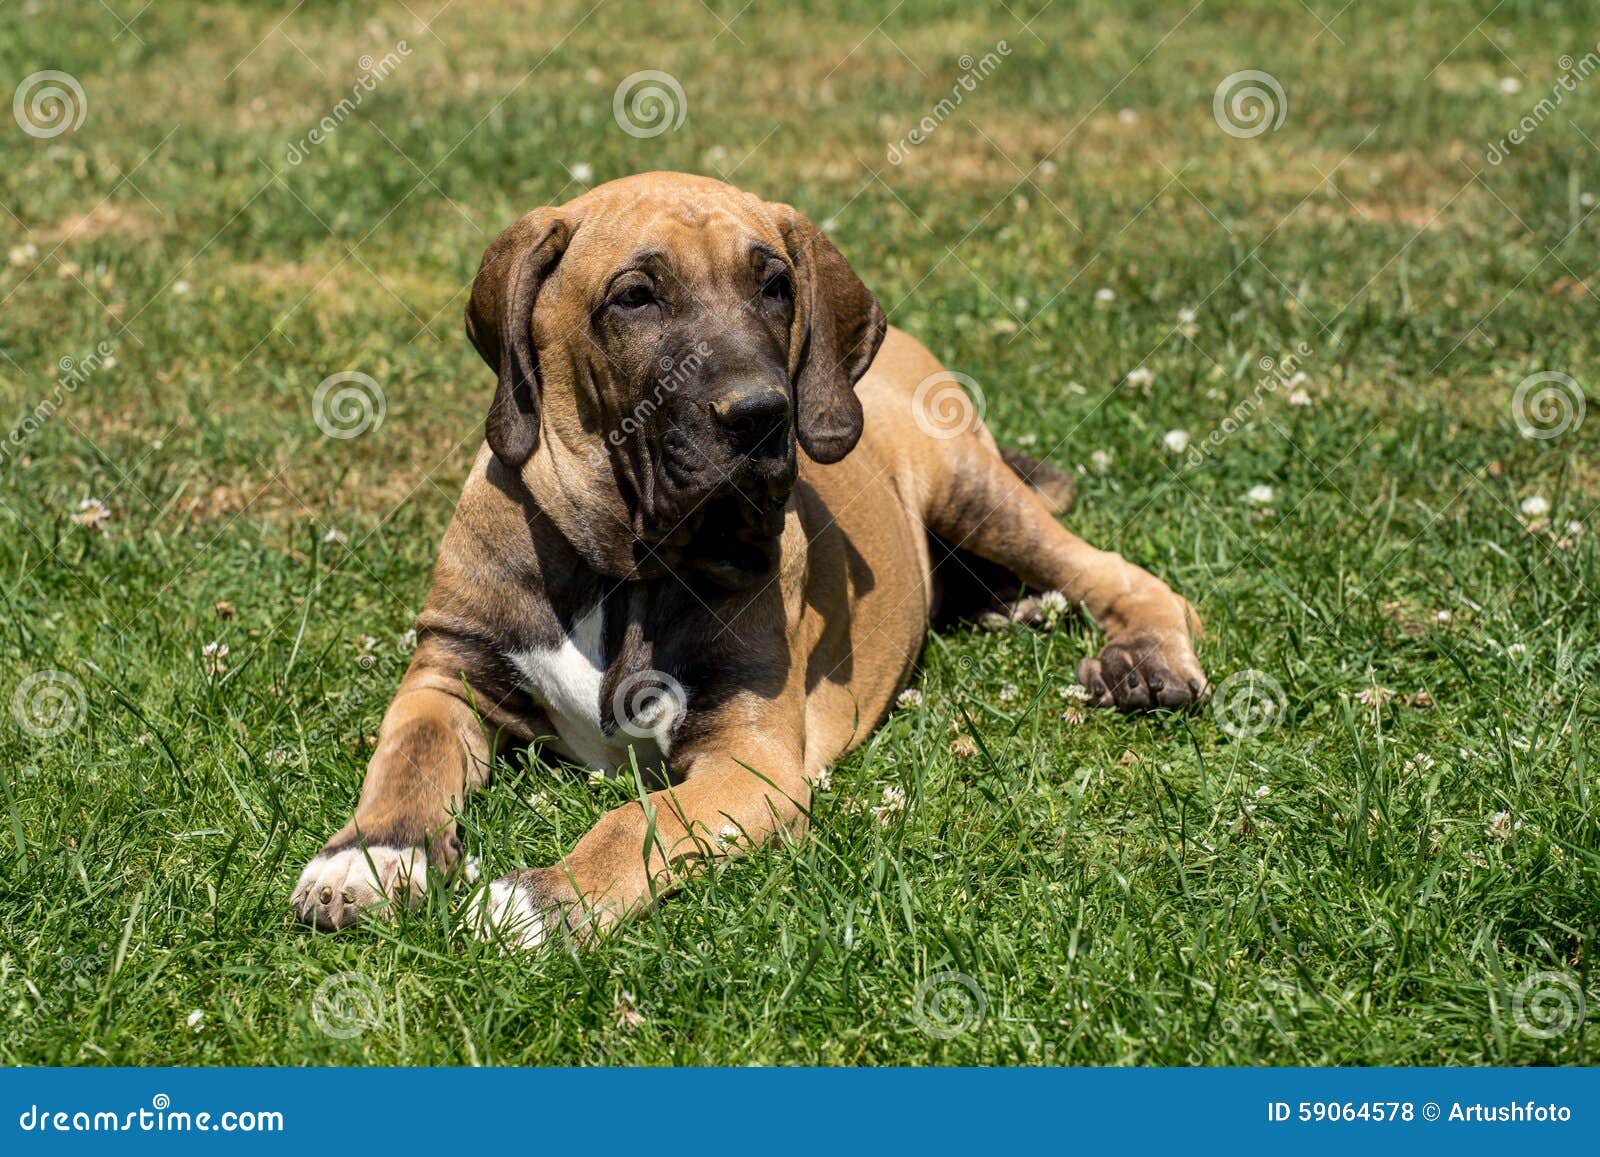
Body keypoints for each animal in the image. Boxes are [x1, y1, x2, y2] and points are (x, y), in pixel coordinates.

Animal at [294, 174, 1203, 947]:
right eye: (635, 296)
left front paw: (542, 899)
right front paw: (368, 857)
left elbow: (639, 819)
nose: (764, 415)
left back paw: (1144, 658)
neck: (622, 567)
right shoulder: (446, 673)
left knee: (1119, 573)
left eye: (776, 286)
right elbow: (405, 763)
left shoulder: (752, 757)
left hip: (969, 481)